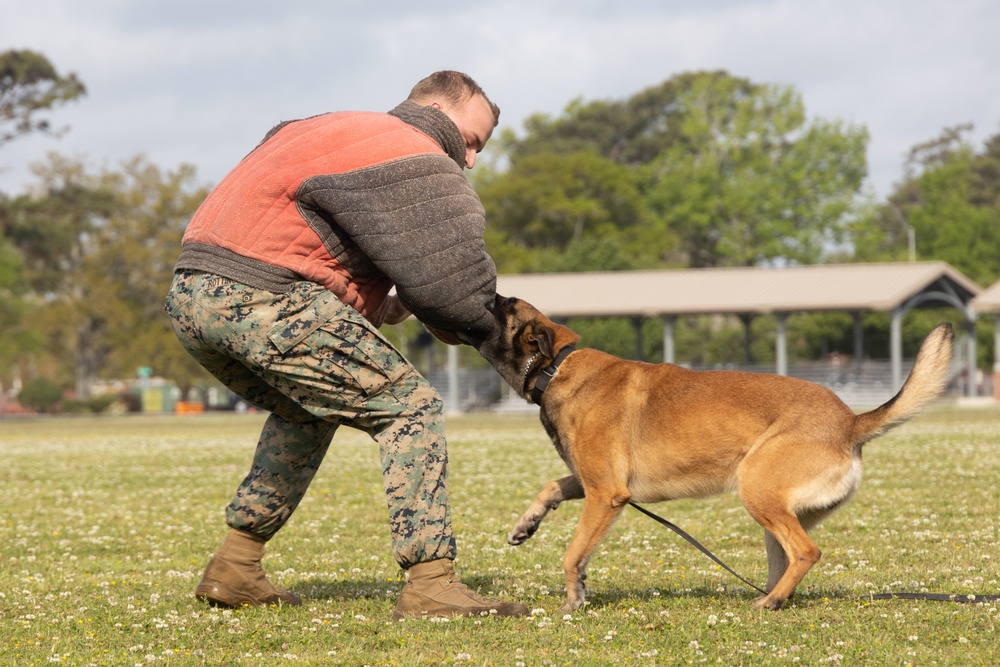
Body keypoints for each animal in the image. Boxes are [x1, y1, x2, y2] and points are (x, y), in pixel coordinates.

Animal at [480, 296, 956, 612]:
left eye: (502, 305)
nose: (487, 292)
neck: (554, 367)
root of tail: (849, 422)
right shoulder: (592, 483)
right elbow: (551, 488)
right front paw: (525, 526)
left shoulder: (606, 493)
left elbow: (573, 552)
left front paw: (573, 599)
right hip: (774, 510)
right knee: (787, 559)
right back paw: (773, 597)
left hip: (756, 487)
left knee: (807, 552)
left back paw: (769, 602)